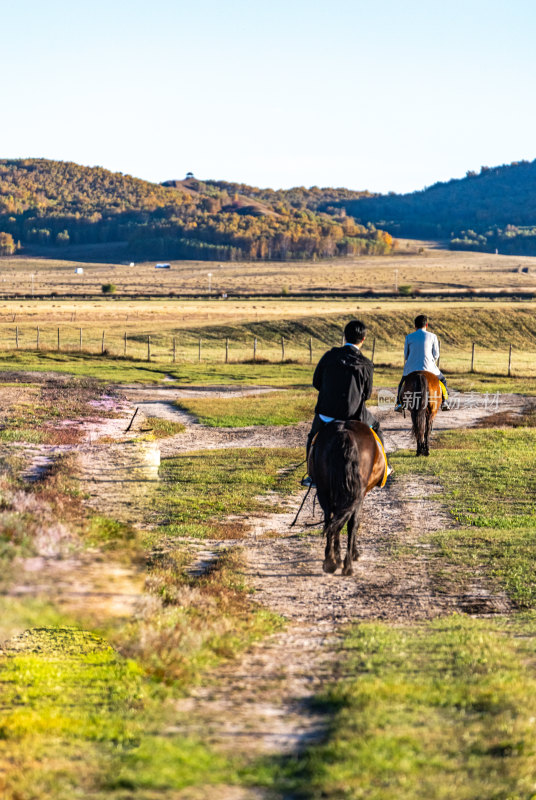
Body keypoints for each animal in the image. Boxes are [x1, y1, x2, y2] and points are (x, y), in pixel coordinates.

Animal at [308, 418, 388, 576]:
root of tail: (344, 432)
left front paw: (337, 558)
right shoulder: (360, 495)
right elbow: (354, 523)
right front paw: (350, 555)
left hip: (324, 490)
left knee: (329, 520)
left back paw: (329, 562)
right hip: (356, 494)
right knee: (350, 523)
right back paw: (348, 566)